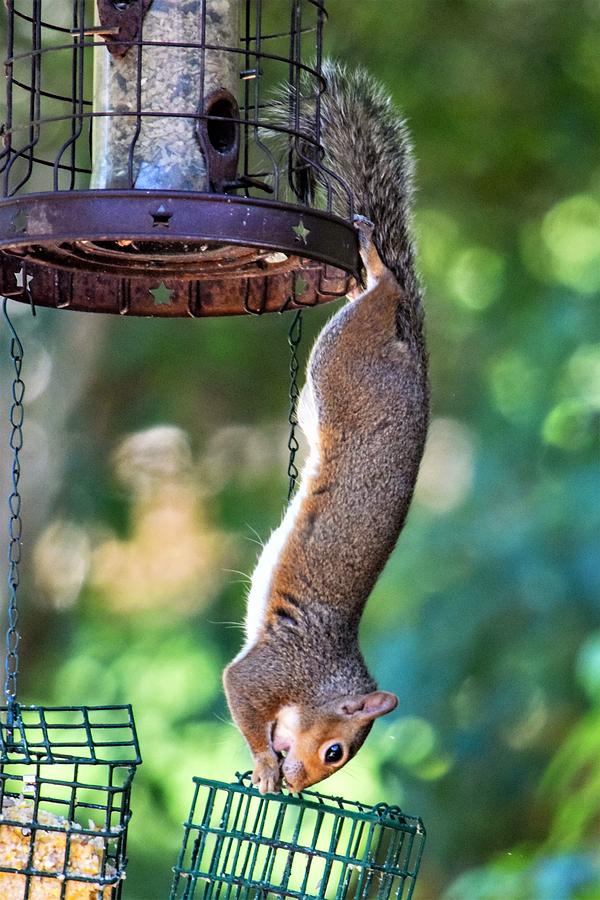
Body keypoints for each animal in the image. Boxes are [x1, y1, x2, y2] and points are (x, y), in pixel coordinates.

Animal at [224, 61, 426, 796]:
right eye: (336, 750)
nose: (299, 783)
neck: (321, 680)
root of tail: (410, 347)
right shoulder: (276, 667)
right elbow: (238, 687)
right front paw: (261, 765)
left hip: (323, 389)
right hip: (346, 361)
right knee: (383, 287)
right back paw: (373, 261)